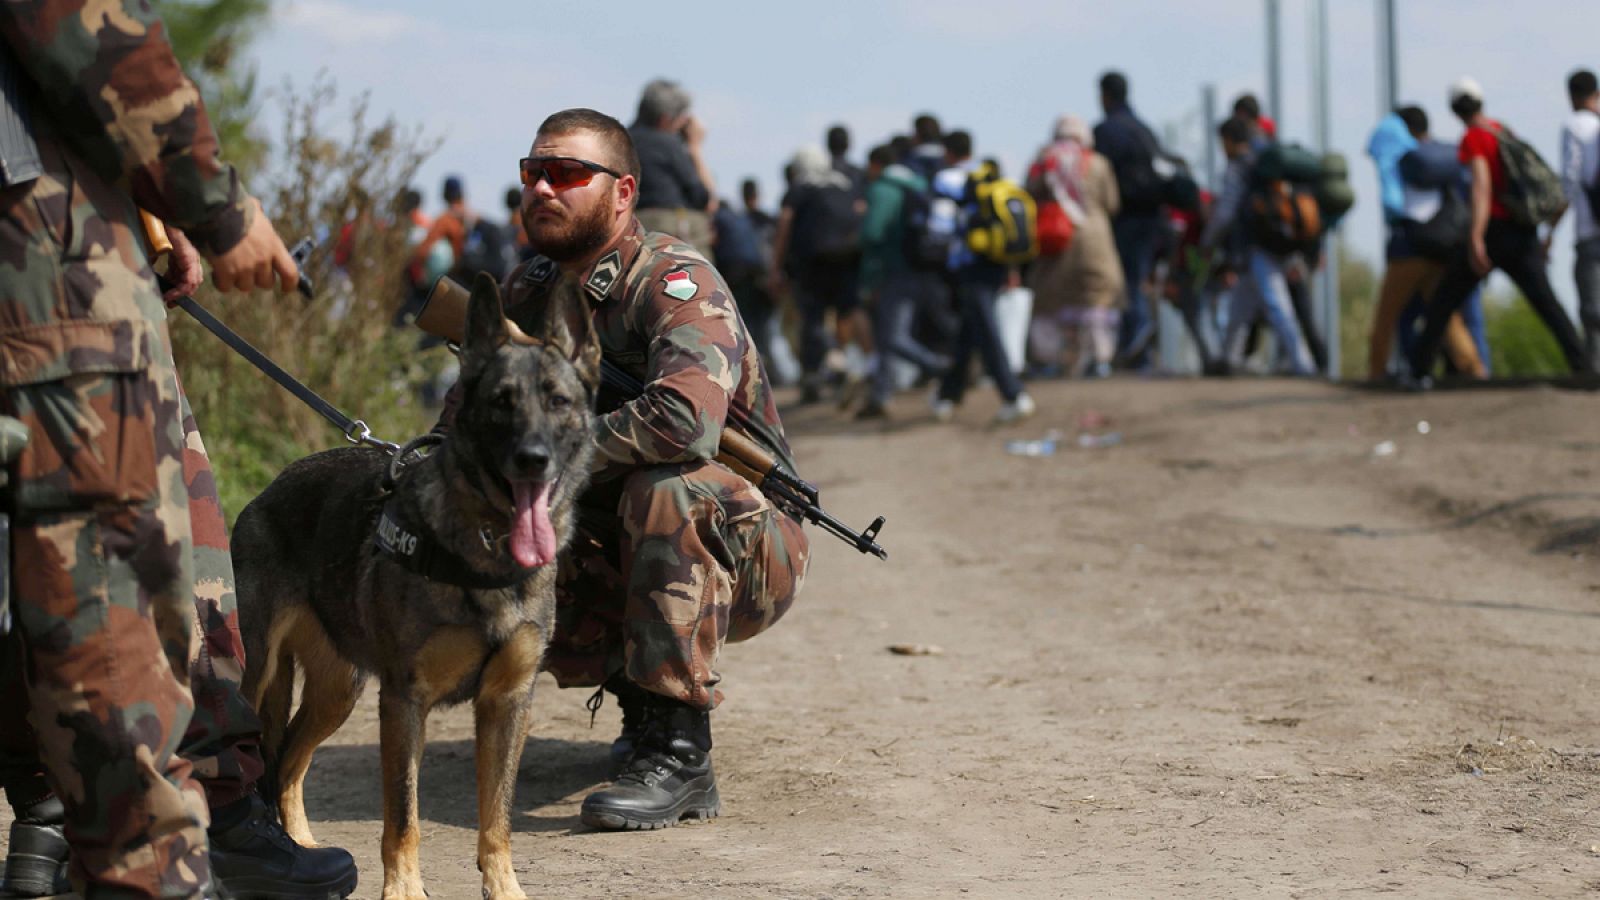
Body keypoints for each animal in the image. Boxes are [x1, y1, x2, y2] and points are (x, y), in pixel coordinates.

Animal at [238, 273, 604, 896]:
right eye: (501, 402)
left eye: (559, 401)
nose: (532, 459)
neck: (485, 553)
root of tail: (267, 490)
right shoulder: (405, 701)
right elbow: (403, 815)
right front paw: (403, 889)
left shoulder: (507, 703)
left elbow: (496, 818)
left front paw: (503, 887)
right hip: (263, 673)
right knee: (263, 755)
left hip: (339, 693)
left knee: (287, 761)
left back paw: (301, 848)